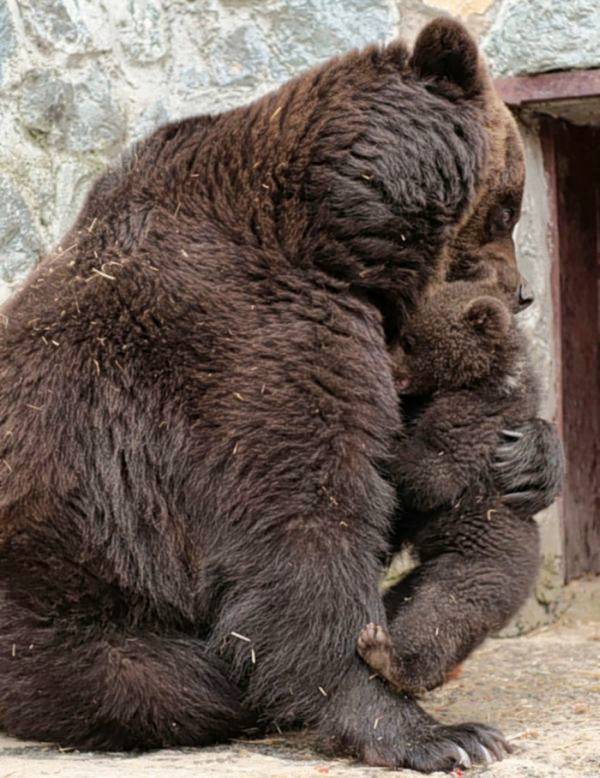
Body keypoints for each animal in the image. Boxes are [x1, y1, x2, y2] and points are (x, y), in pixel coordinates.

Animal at [357, 279, 550, 700]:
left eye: (410, 340)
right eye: (399, 333)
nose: (389, 368)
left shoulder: (474, 420)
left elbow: (430, 474)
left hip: (477, 567)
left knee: (441, 614)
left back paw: (388, 657)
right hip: (426, 572)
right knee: (405, 602)